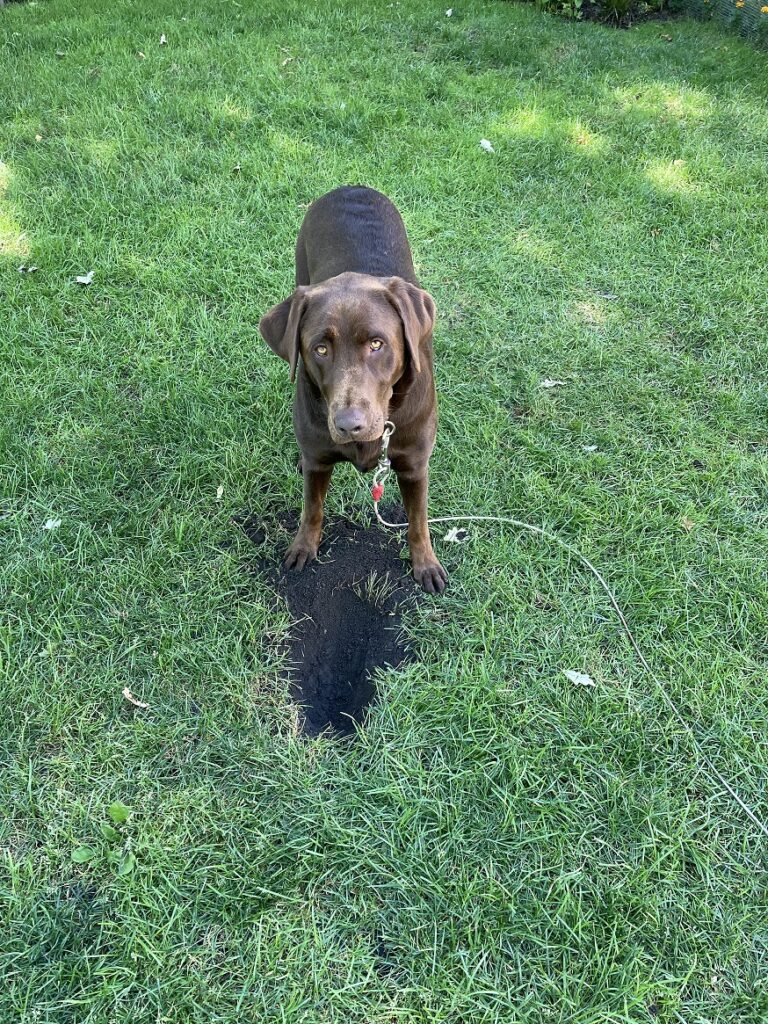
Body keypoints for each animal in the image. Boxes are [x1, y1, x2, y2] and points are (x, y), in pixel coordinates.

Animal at [262, 184, 448, 593]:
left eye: (377, 344)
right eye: (320, 348)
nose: (350, 425)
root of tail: (351, 187)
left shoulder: (414, 465)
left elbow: (418, 521)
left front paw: (425, 563)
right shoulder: (319, 458)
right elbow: (312, 508)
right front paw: (304, 547)